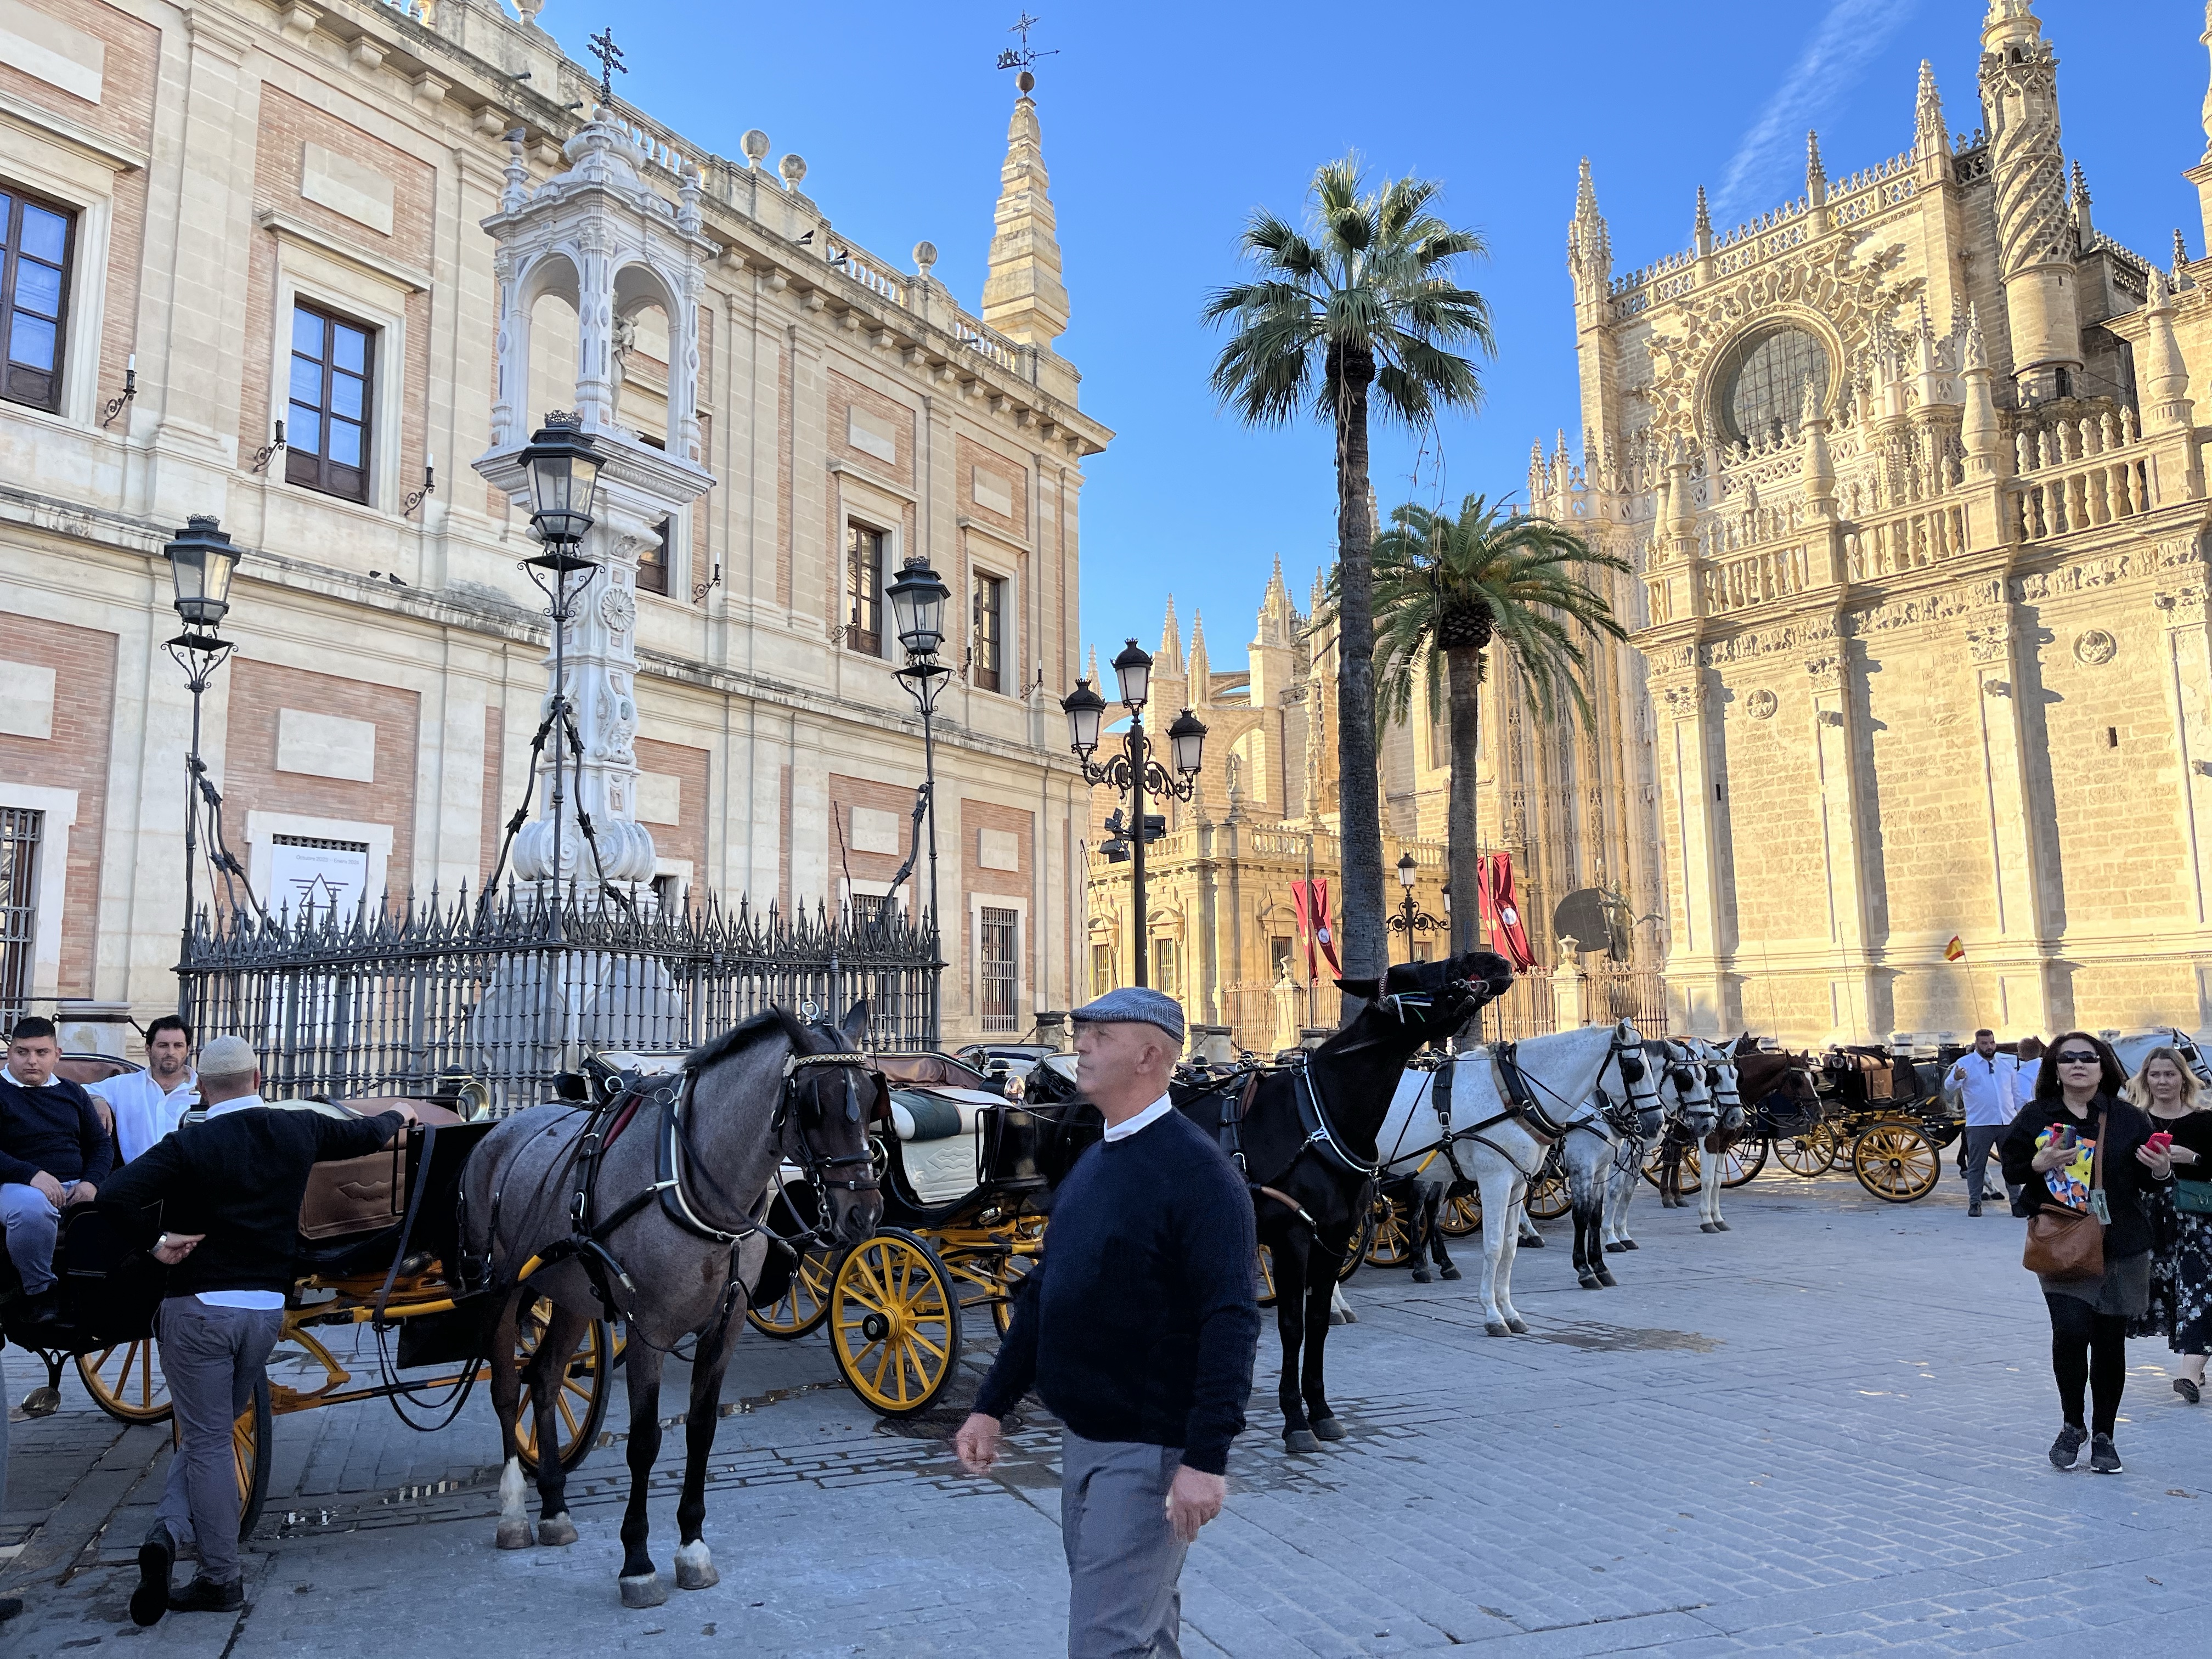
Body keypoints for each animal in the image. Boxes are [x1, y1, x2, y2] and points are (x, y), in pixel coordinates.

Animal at [460, 1002, 884, 1608]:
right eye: (813, 1104)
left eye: (872, 1096)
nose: (864, 1215)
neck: (695, 1180)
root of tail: (503, 1125)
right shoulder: (648, 1329)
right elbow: (644, 1441)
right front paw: (638, 1562)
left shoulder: (724, 1326)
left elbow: (701, 1430)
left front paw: (692, 1547)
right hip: (501, 1287)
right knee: (503, 1387)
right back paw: (516, 1512)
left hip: (573, 1295)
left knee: (543, 1377)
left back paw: (556, 1510)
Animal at [1176, 950, 1513, 1452]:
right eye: (1411, 972)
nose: (1489, 959)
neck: (1321, 1113)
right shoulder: (1293, 1238)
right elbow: (1292, 1325)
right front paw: (1295, 1419)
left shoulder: (1333, 1239)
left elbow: (1317, 1320)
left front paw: (1320, 1410)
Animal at [1378, 1019, 1659, 1336]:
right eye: (1635, 1069)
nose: (1657, 1123)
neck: (1518, 1097)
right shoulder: (1497, 1182)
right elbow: (1494, 1246)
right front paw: (1492, 1314)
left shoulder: (1518, 1185)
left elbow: (1510, 1247)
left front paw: (1509, 1312)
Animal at [1601, 1040, 1718, 1252]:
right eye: (1685, 1079)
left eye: (1706, 1079)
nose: (1708, 1124)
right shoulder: (1616, 1154)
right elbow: (1614, 1190)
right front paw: (1610, 1236)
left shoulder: (1636, 1154)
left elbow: (1627, 1190)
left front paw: (1622, 1233)